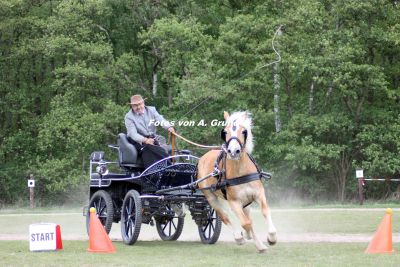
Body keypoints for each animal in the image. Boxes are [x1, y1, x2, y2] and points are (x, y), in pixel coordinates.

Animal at [196, 111, 276, 253]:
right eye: (225, 132)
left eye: (244, 131)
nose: (233, 151)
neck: (241, 171)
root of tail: (203, 157)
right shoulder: (234, 202)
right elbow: (246, 223)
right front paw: (245, 237)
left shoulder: (259, 194)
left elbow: (265, 211)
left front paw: (271, 238)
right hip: (211, 197)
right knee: (224, 216)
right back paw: (239, 237)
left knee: (246, 216)